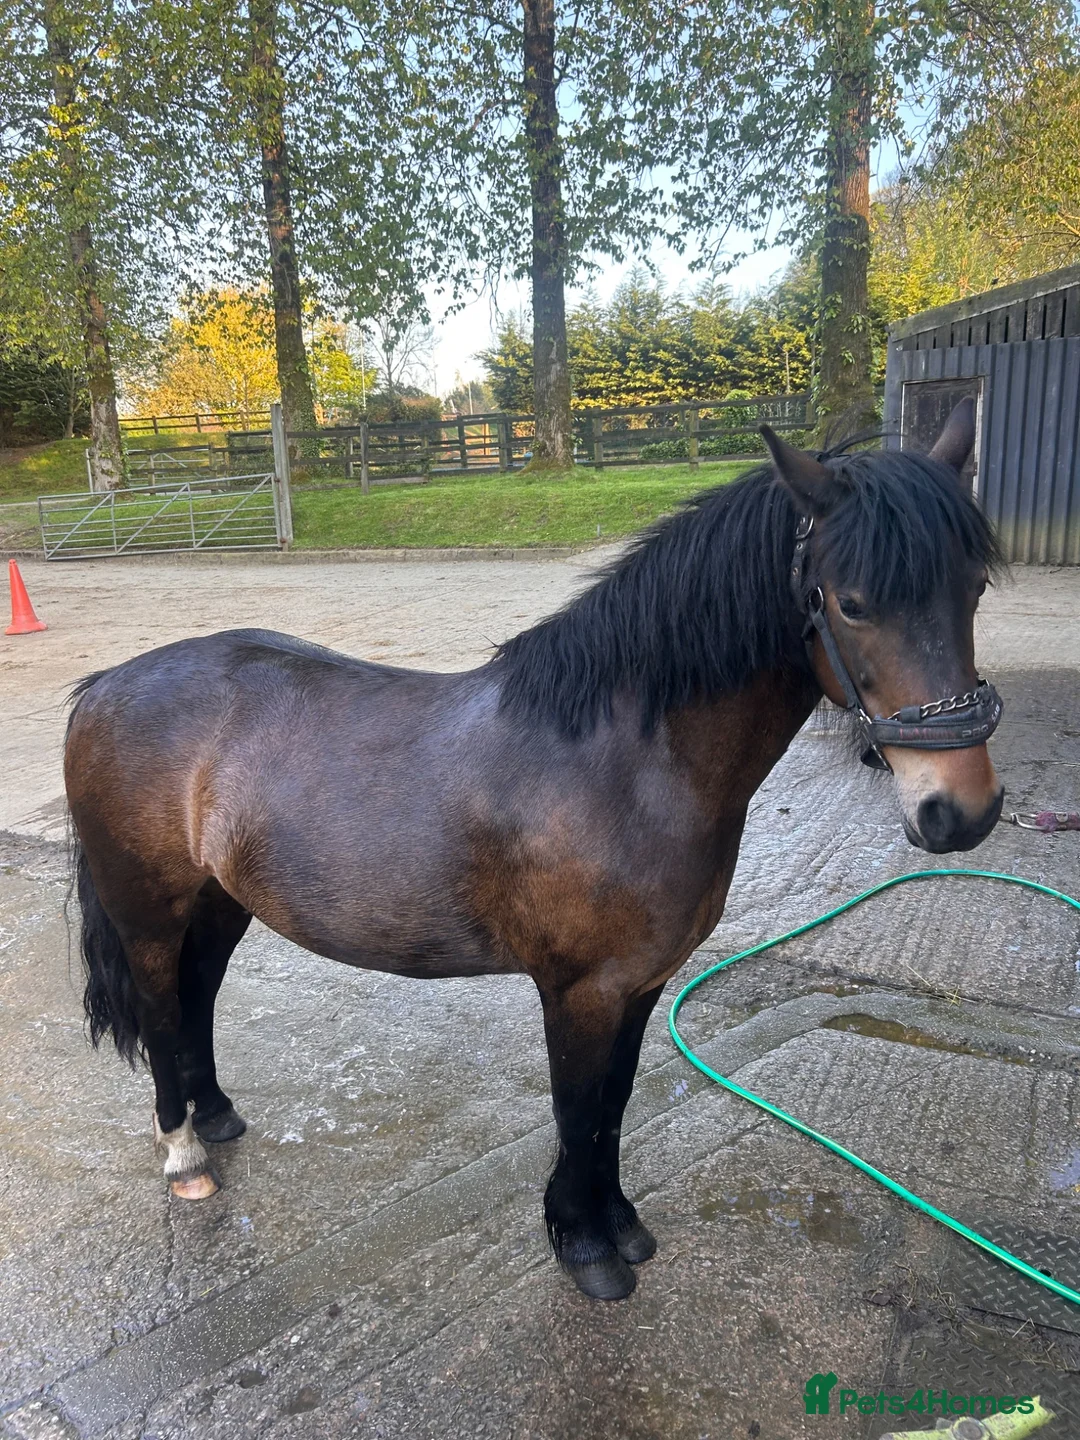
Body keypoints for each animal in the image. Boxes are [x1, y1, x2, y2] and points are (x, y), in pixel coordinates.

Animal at [65, 403, 1004, 1302]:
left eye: (975, 586)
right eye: (851, 602)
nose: (960, 810)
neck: (626, 761)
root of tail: (102, 687)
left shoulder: (641, 982)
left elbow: (614, 1106)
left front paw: (617, 1224)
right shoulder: (580, 991)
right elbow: (577, 1112)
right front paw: (584, 1245)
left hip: (220, 903)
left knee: (196, 999)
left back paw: (218, 1115)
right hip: (148, 914)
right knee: (161, 1011)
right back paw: (186, 1155)